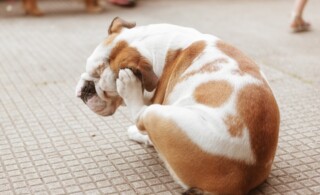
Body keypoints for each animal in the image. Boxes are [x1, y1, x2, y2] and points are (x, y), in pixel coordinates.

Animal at [75, 17, 280, 194]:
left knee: (141, 115)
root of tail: (245, 174)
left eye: (107, 91)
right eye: (87, 70)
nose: (87, 89)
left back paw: (130, 89)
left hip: (158, 115)